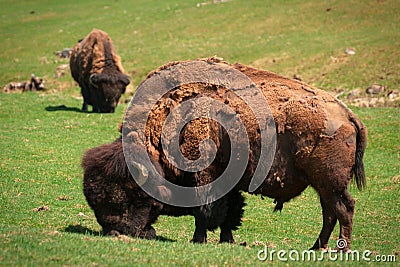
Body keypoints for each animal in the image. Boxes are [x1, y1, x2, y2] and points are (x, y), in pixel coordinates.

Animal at [81, 58, 366, 251]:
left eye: (126, 193)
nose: (115, 232)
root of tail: (348, 115)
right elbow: (230, 212)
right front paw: (226, 239)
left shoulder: (205, 178)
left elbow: (205, 211)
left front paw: (199, 240)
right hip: (324, 186)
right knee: (330, 212)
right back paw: (316, 247)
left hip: (329, 183)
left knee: (343, 209)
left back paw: (340, 250)